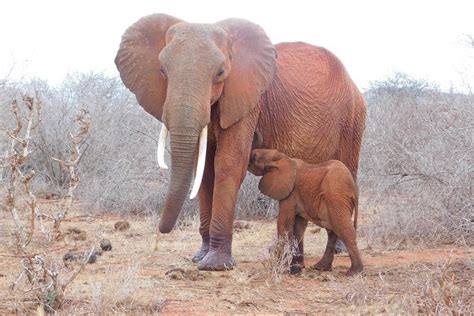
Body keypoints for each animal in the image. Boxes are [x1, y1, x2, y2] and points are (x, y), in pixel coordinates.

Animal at [115, 13, 366, 270]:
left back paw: (339, 248)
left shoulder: (248, 101)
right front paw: (200, 257)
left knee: (347, 169)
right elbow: (204, 172)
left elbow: (228, 165)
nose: (160, 234)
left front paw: (214, 265)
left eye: (220, 72)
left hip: (352, 120)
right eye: (162, 71)